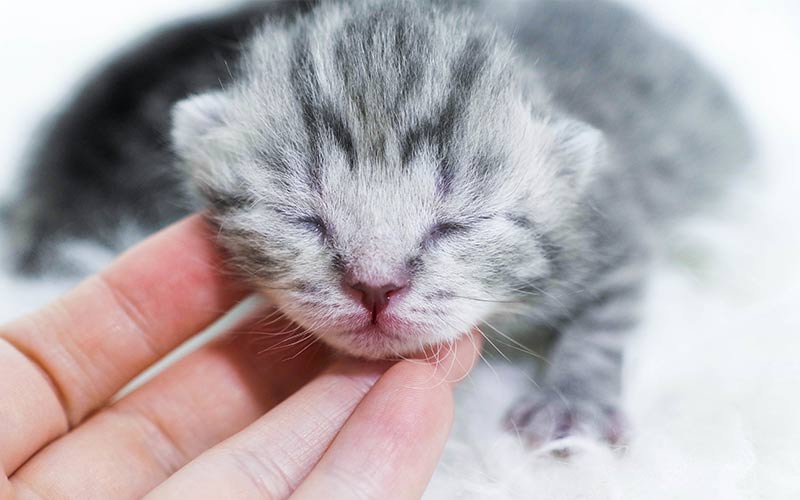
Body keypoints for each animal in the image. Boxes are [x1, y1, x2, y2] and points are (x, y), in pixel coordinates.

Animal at [6, 0, 752, 446]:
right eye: (303, 219)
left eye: (456, 225)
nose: (375, 287)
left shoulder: (615, 231)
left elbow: (607, 320)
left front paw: (574, 401)